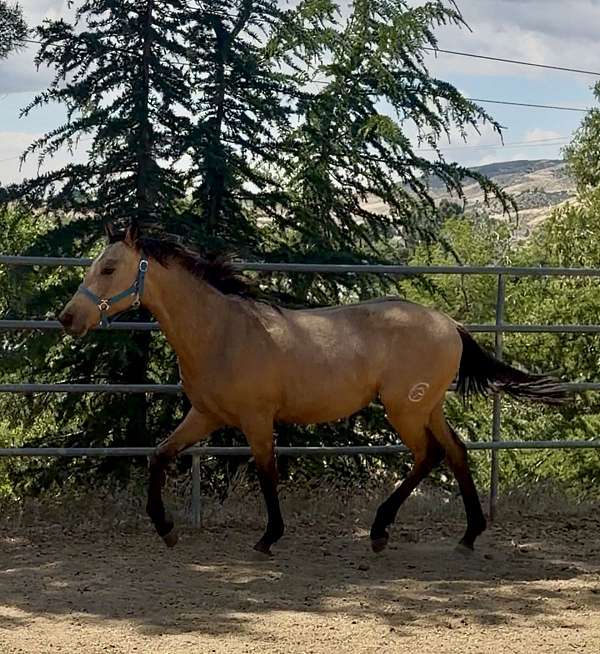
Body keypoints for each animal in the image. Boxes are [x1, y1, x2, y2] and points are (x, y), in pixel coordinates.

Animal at [58, 223, 568, 556]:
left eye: (109, 268)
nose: (68, 318)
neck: (222, 332)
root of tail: (451, 324)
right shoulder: (205, 414)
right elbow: (159, 455)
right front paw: (166, 529)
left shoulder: (256, 419)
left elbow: (266, 472)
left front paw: (268, 537)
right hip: (428, 406)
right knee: (456, 453)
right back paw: (465, 535)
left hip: (404, 409)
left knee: (431, 455)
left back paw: (383, 531)